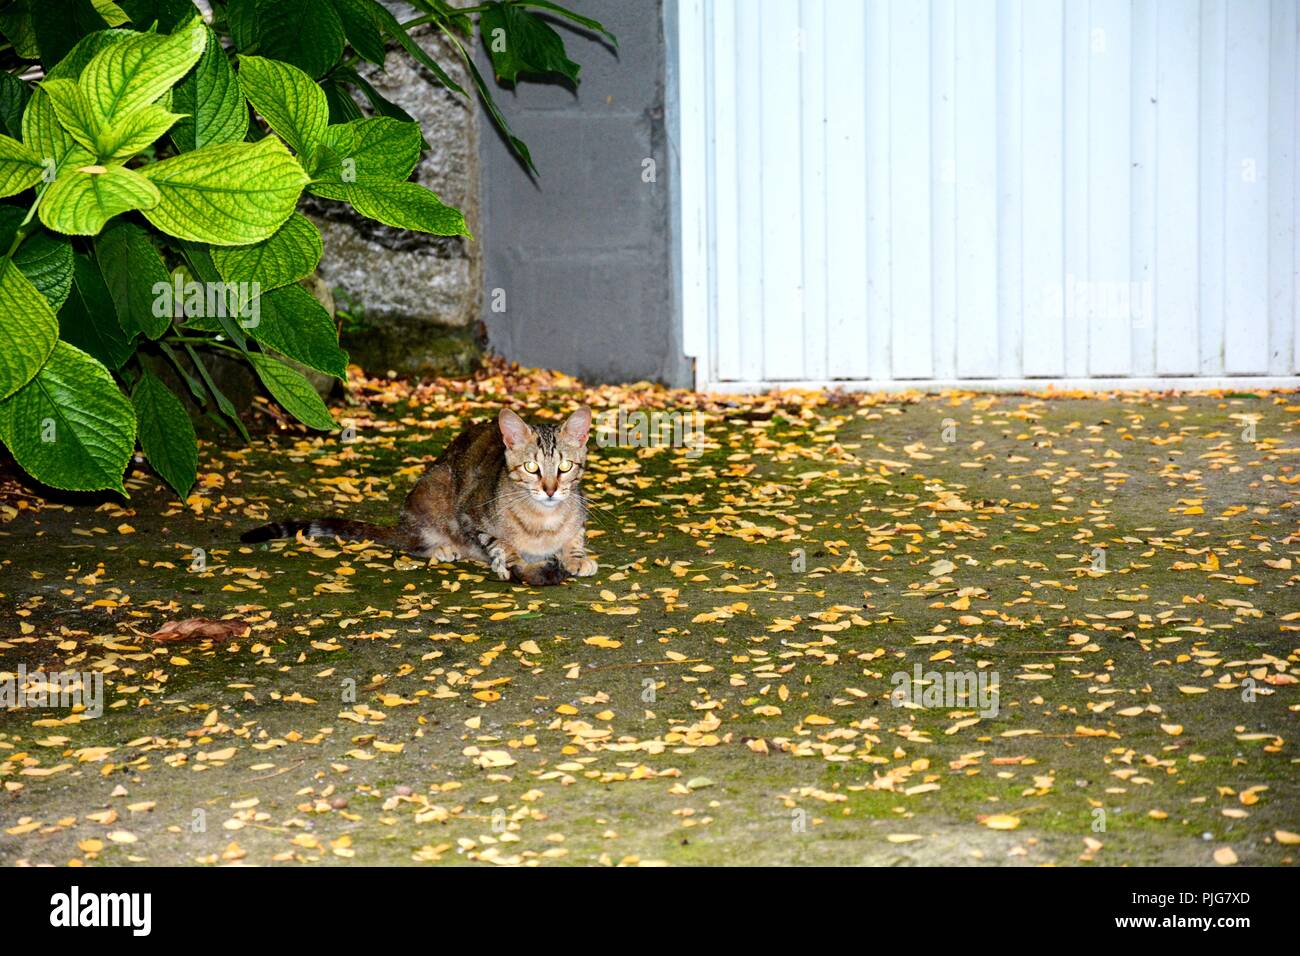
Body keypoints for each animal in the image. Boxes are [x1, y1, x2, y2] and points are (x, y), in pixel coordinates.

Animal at [244, 403, 598, 582]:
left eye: (565, 467)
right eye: (531, 467)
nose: (550, 490)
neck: (544, 521)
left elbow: (575, 535)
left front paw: (576, 556)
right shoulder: (469, 516)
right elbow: (500, 544)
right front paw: (510, 561)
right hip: (434, 489)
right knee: (414, 543)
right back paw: (441, 548)